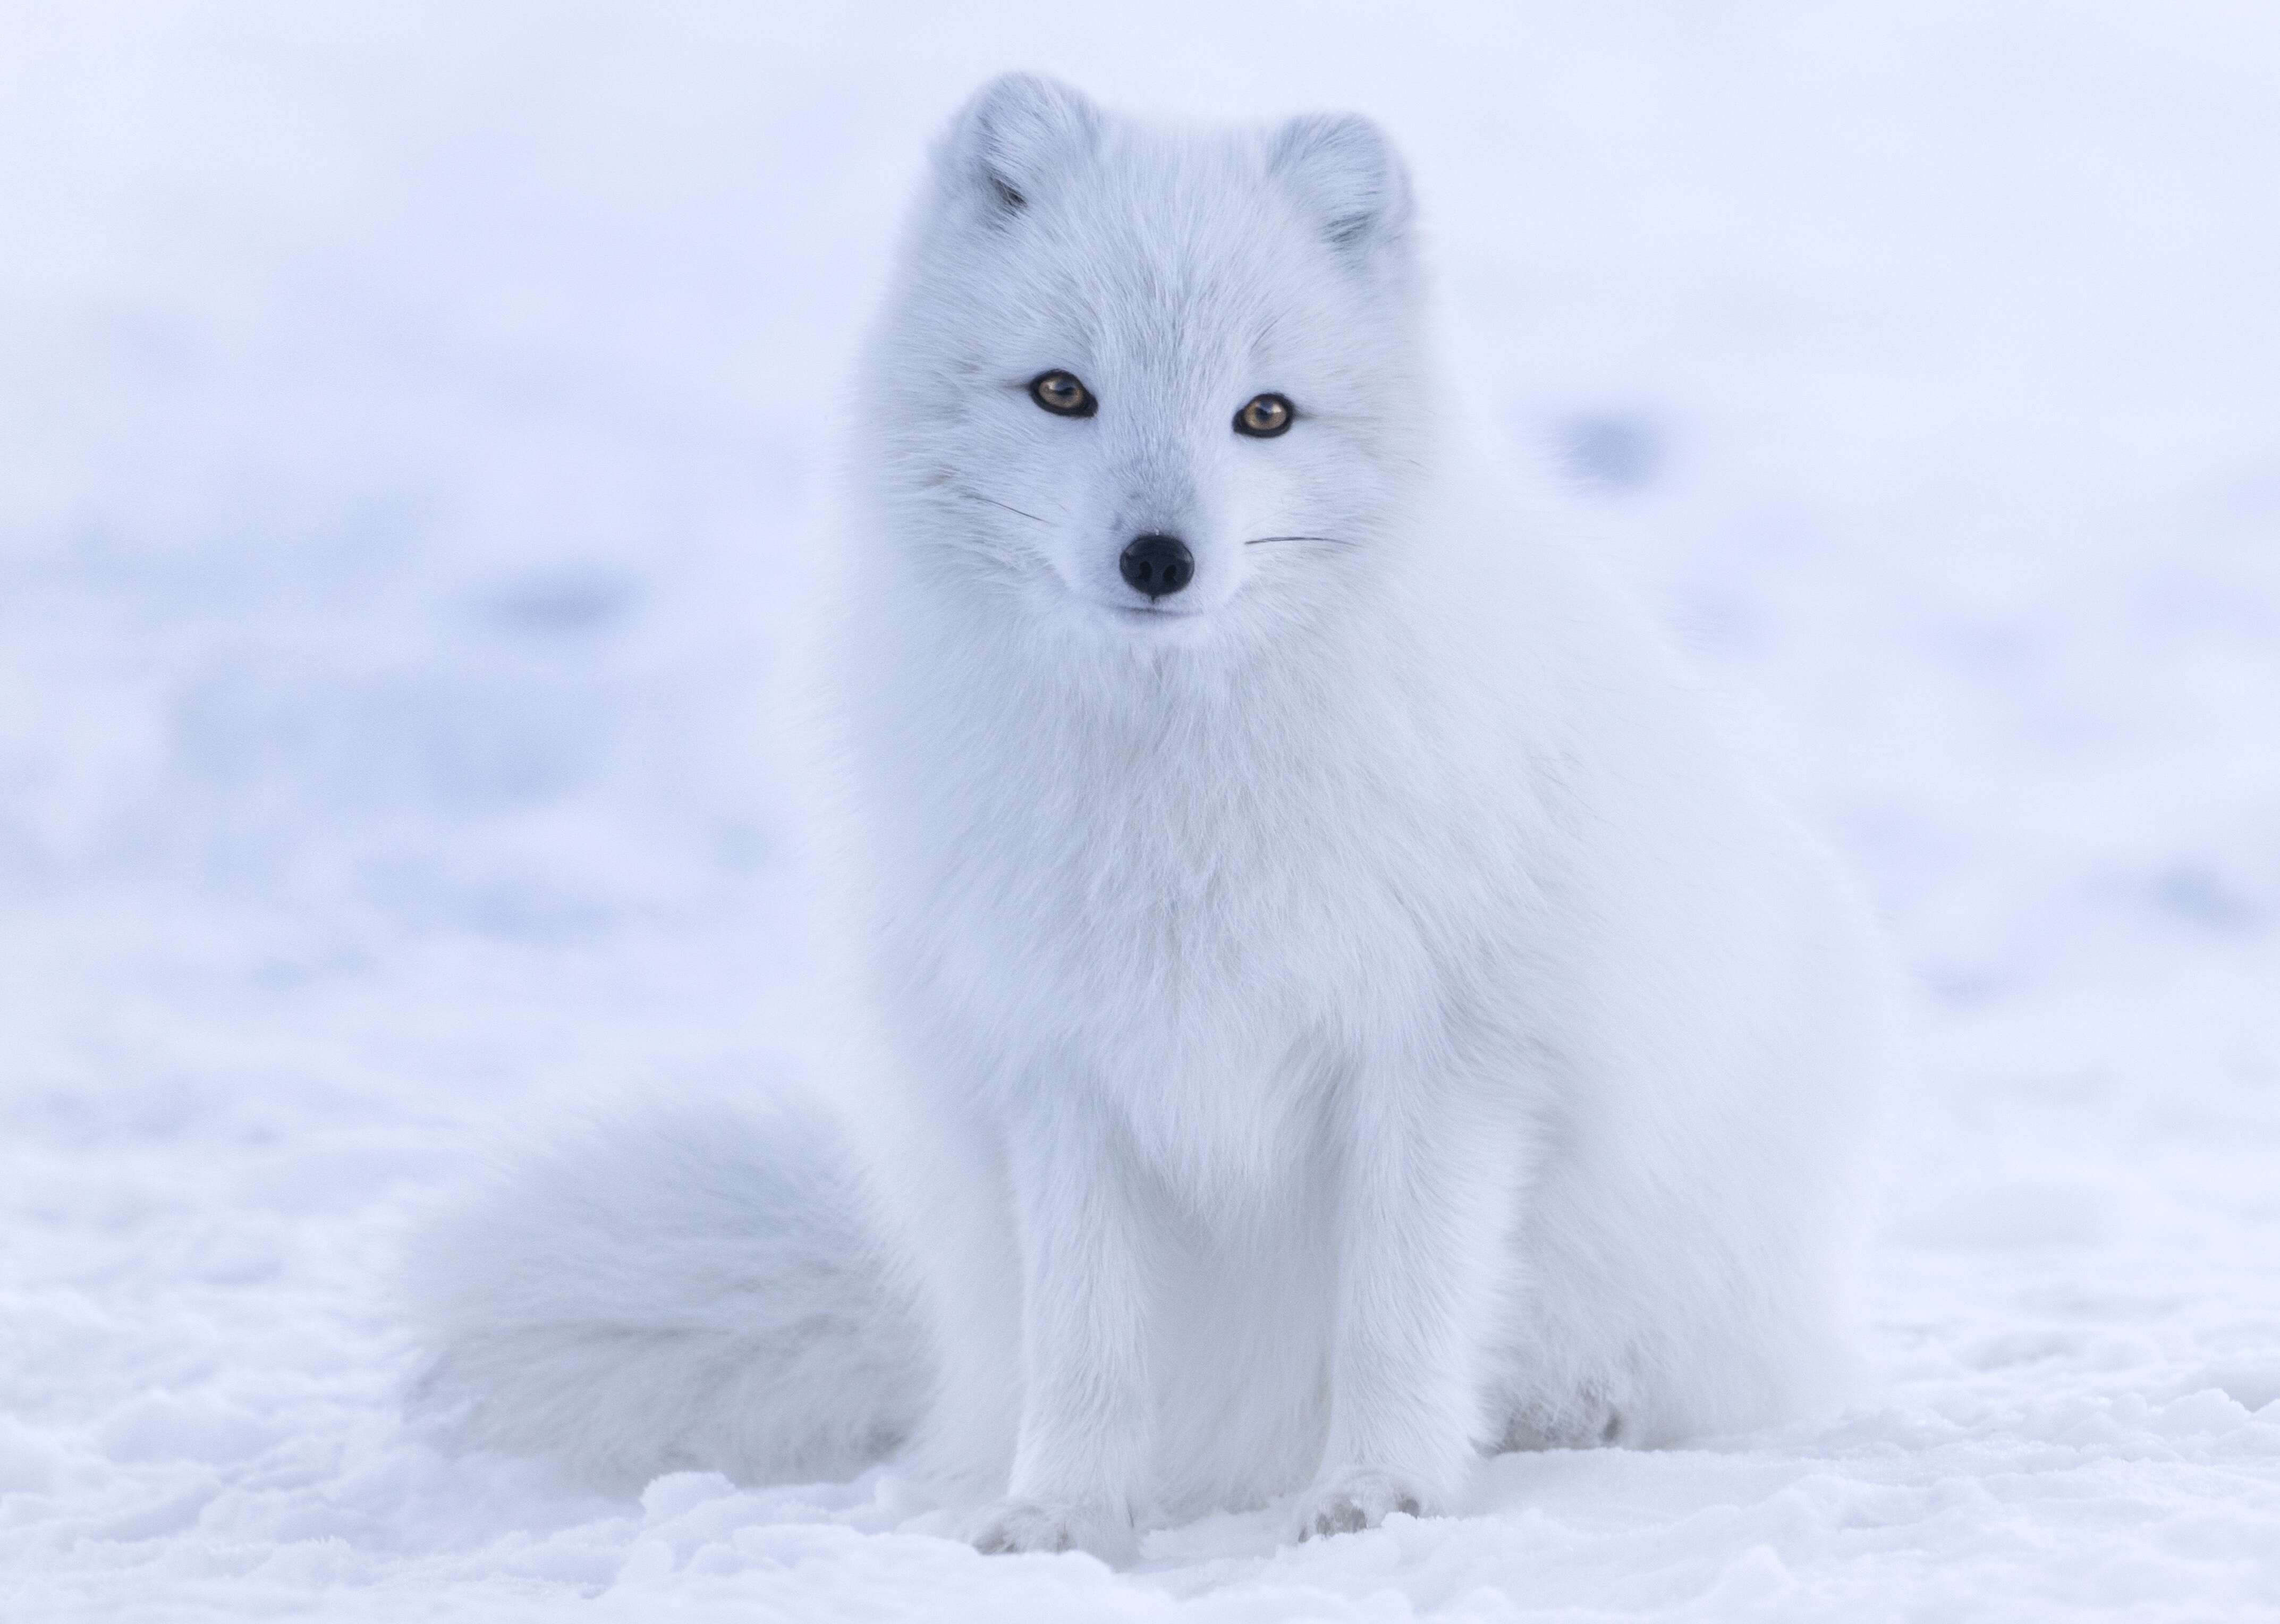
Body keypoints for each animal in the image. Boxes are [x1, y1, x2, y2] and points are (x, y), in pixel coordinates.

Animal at [410, 73, 1887, 1560]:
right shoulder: (1060, 1067)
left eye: (1266, 415)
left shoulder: (1442, 1055)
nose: (1160, 559)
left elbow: (1400, 1313)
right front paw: (1061, 1513)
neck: (1173, 787)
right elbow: (1088, 1342)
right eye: (1064, 391)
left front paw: (1382, 1493)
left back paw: (1573, 1411)